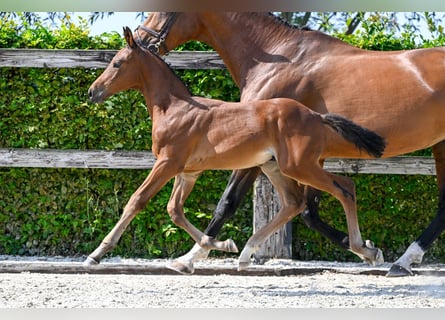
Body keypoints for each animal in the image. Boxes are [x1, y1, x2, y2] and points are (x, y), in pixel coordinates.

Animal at [84, 26, 386, 268]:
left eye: (117, 63)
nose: (92, 92)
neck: (175, 108)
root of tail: (315, 115)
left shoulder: (167, 162)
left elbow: (137, 201)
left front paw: (96, 253)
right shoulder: (188, 172)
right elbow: (175, 210)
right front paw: (218, 245)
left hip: (299, 165)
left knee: (345, 188)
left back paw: (364, 248)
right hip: (274, 167)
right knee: (294, 202)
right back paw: (246, 253)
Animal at [138, 11, 445, 276]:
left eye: (163, 11)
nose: (140, 42)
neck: (278, 61)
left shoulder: (257, 152)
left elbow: (228, 202)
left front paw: (191, 257)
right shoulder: (303, 157)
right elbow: (309, 211)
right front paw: (367, 249)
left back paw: (404, 261)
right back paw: (403, 261)